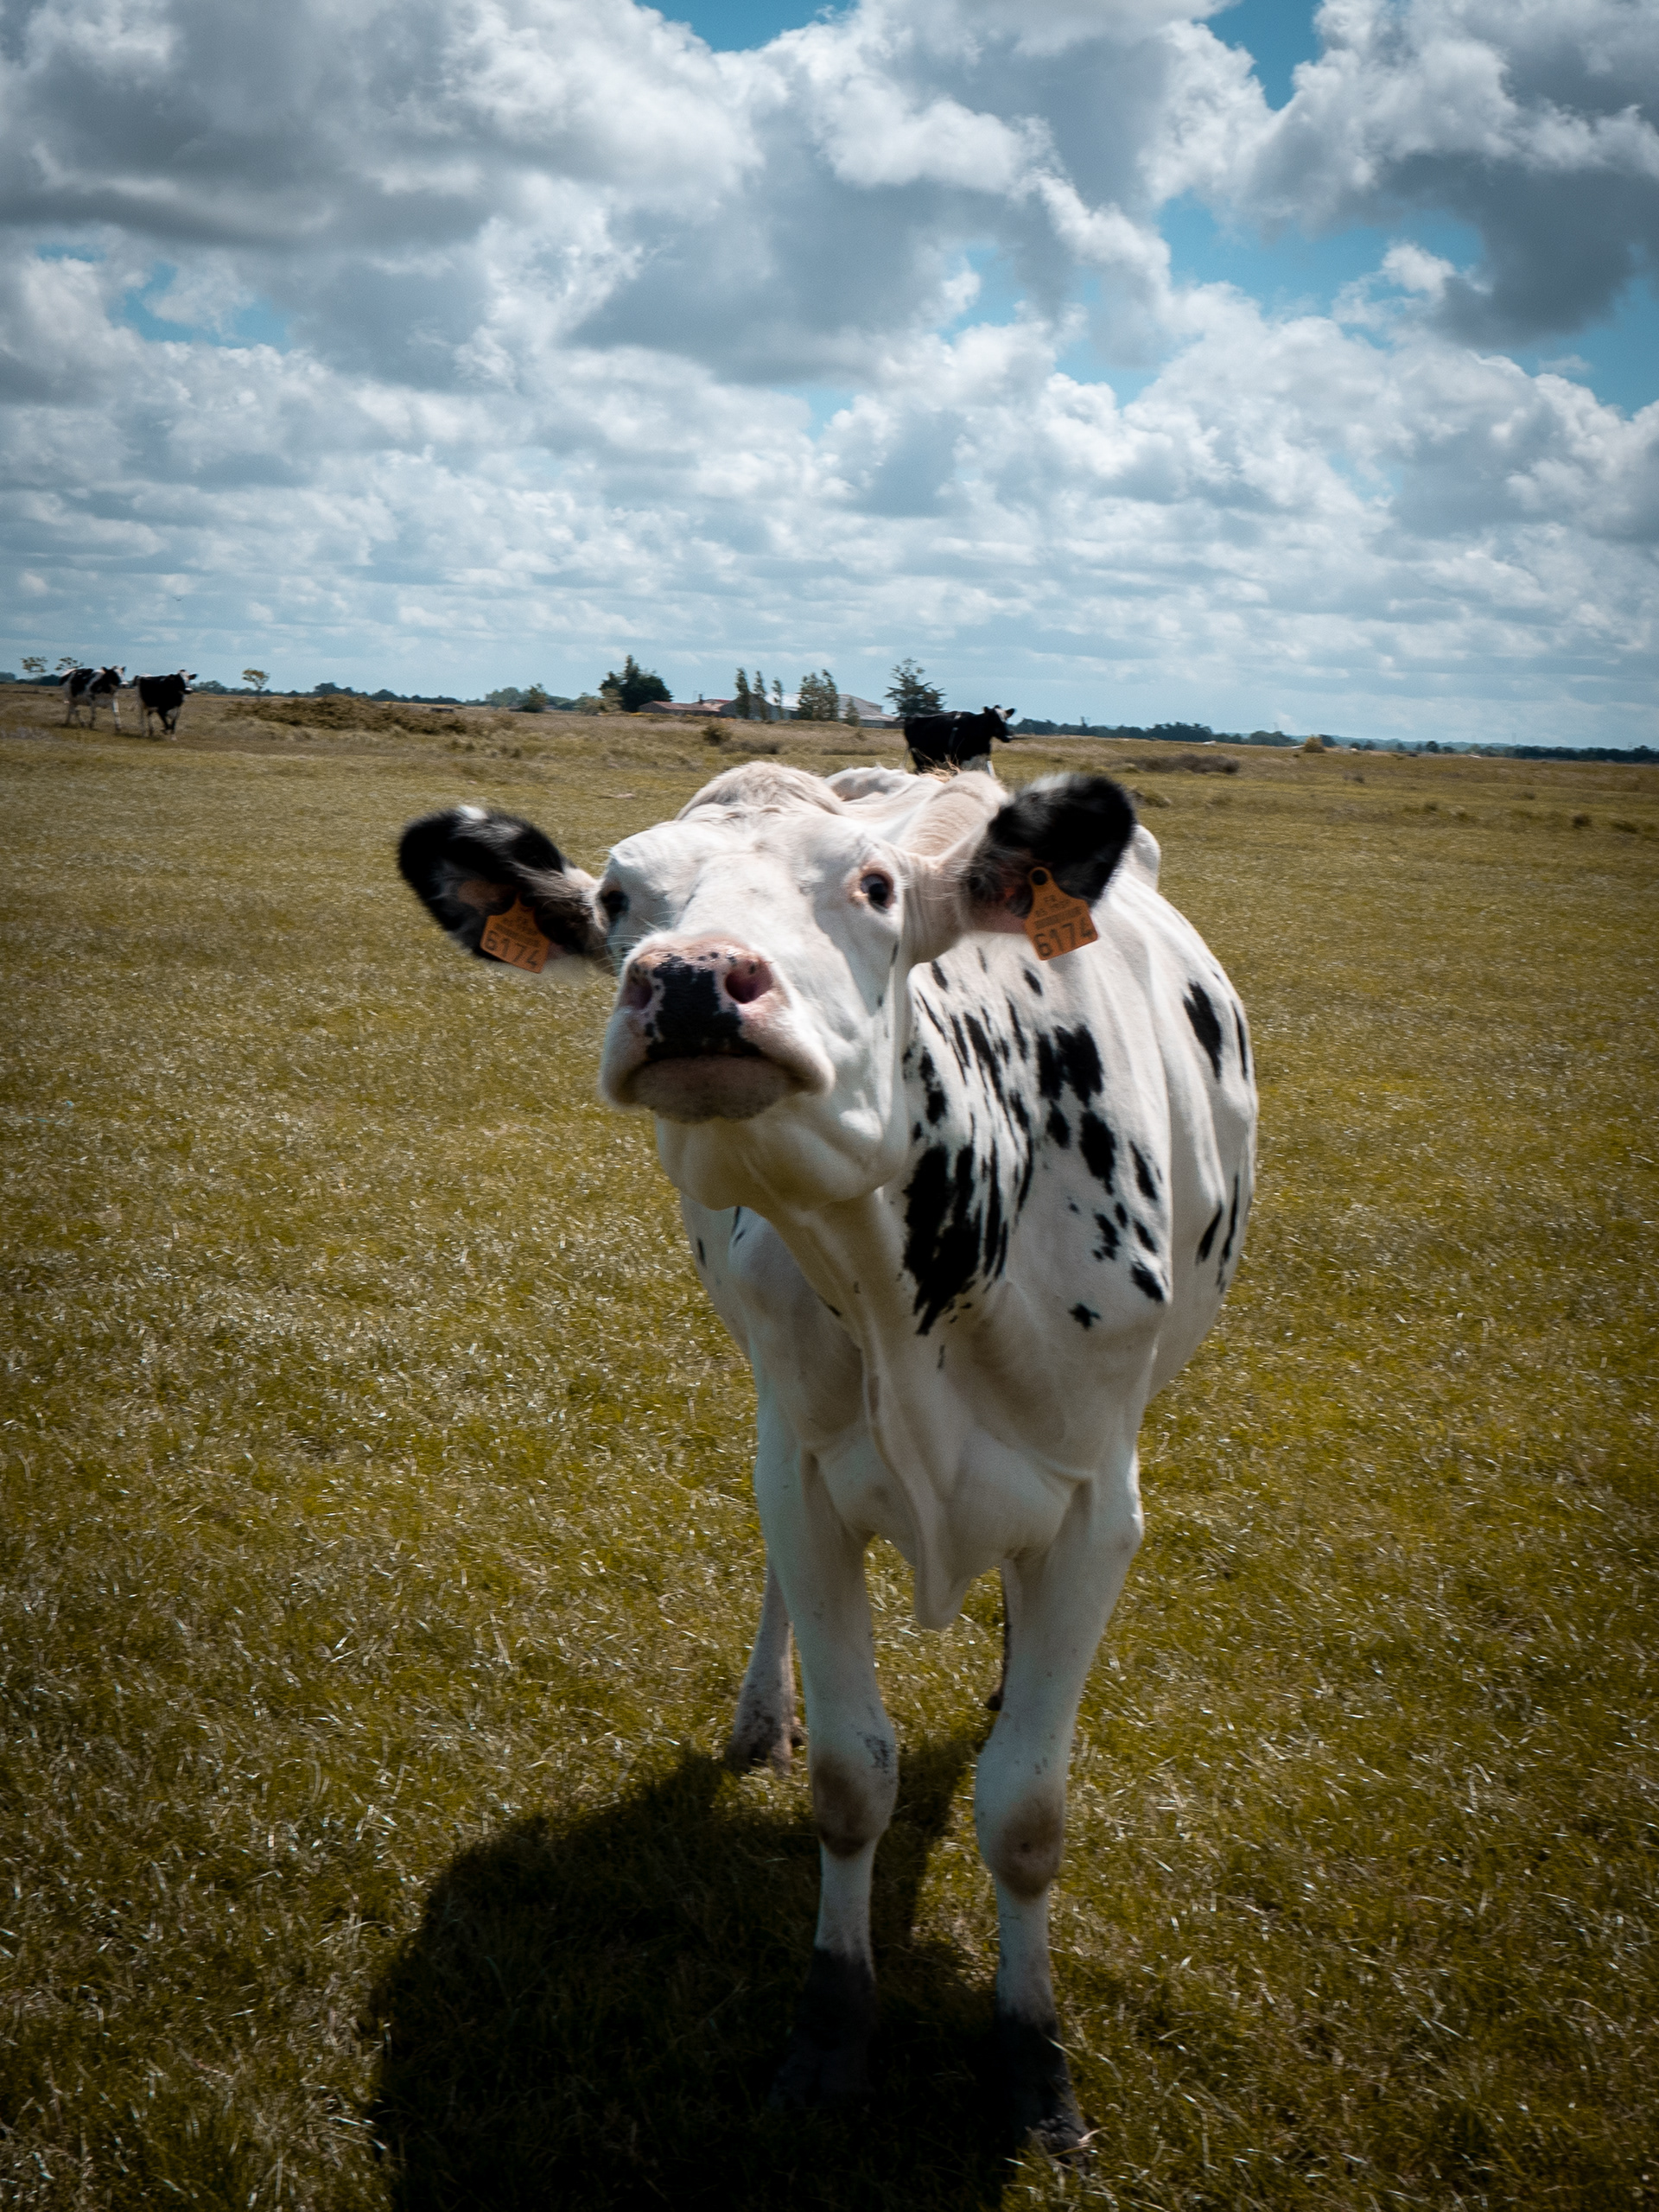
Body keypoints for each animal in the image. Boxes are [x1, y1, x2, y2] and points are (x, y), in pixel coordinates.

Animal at [395, 760, 1255, 2156]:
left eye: (874, 885)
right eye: (619, 900)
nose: (695, 981)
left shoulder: (1096, 1511)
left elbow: (1027, 1812)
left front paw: (1035, 2061)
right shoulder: (804, 1474)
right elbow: (856, 1779)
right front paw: (832, 2029)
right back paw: (763, 1716)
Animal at [905, 705, 1018, 773]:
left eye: (1006, 718)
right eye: (994, 719)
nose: (1008, 737)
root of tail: (913, 716)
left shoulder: (985, 759)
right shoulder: (956, 762)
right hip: (920, 760)